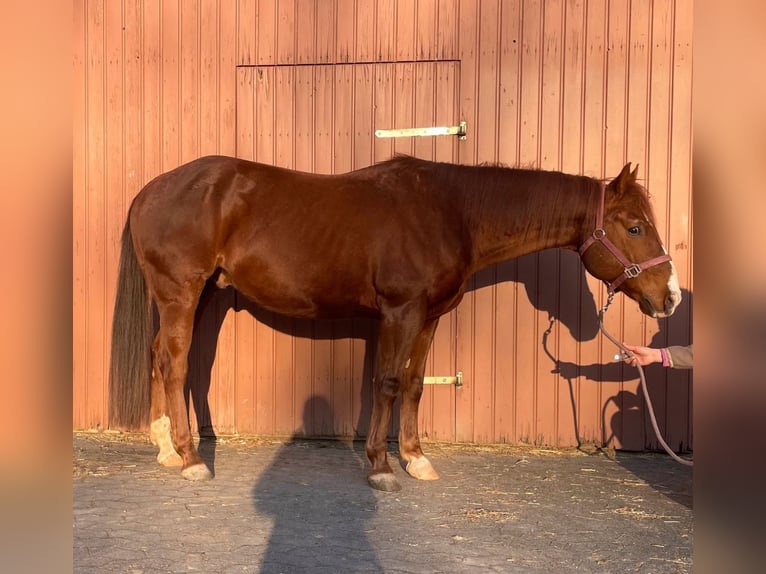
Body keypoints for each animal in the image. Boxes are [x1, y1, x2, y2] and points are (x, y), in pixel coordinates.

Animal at [109, 155, 681, 492]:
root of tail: (151, 190)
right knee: (176, 363)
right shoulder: (398, 313)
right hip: (182, 293)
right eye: (634, 227)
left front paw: (416, 458)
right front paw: (381, 467)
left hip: (197, 294)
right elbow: (384, 382)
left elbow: (412, 384)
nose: (669, 297)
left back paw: (165, 447)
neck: (450, 211)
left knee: (159, 356)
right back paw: (190, 458)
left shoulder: (427, 318)